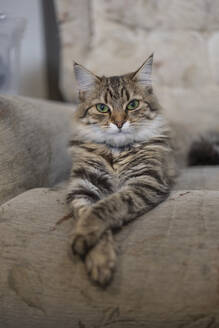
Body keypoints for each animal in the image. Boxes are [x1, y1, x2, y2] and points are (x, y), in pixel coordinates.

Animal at [65, 55, 178, 288]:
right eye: (102, 108)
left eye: (132, 105)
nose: (119, 122)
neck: (116, 152)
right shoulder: (84, 185)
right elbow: (87, 211)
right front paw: (99, 256)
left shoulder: (145, 180)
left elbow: (103, 207)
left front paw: (84, 242)